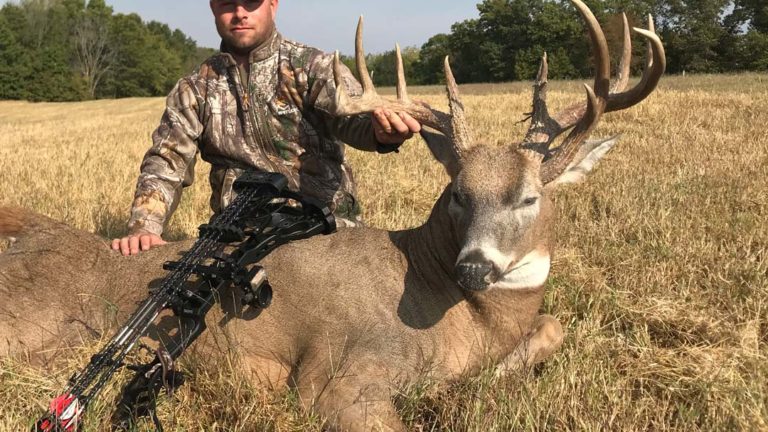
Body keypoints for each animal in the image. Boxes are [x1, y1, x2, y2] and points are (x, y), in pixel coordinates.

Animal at [0, 1, 665, 430]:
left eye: (529, 197)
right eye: (457, 193)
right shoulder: (341, 376)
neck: (457, 312)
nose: (475, 268)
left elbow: (552, 329)